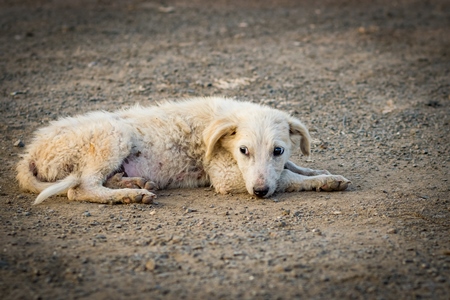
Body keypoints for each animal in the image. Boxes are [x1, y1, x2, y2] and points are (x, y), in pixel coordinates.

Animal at [16, 97, 348, 205]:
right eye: (243, 150)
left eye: (278, 150)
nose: (260, 192)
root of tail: (32, 151)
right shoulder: (226, 176)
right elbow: (289, 180)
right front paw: (326, 181)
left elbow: (290, 170)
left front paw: (318, 171)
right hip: (113, 135)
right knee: (80, 189)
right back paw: (130, 195)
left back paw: (135, 182)